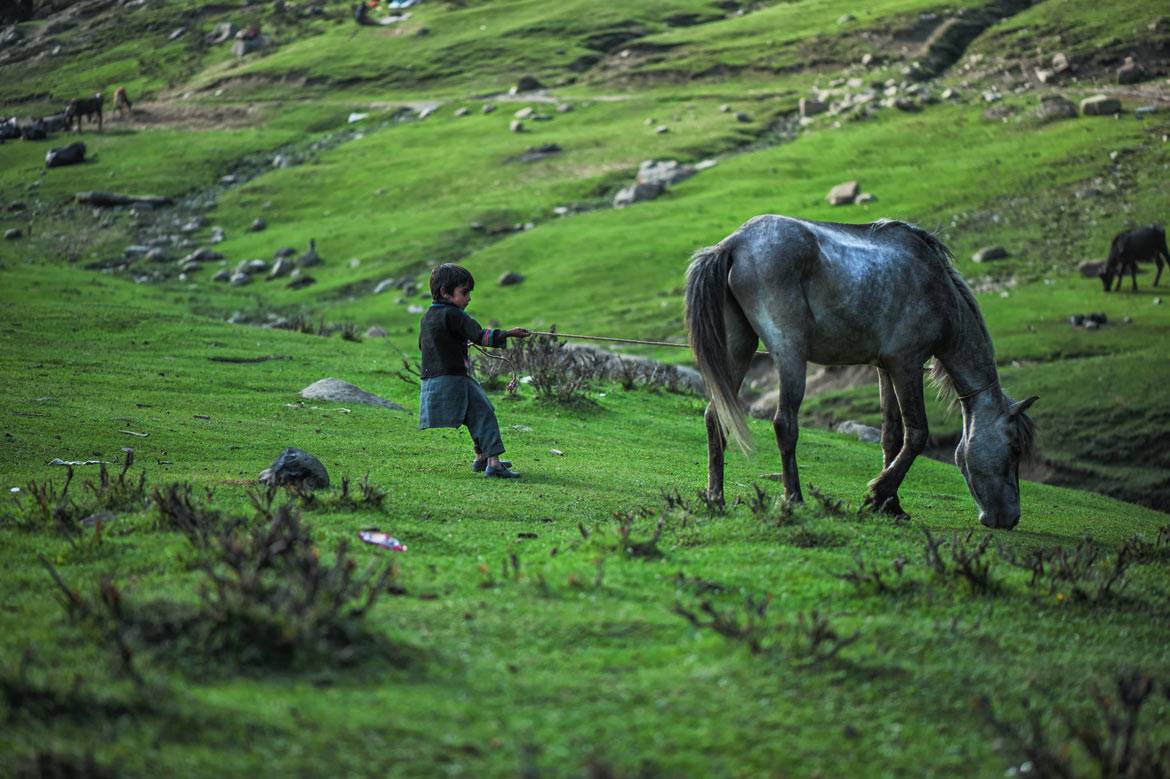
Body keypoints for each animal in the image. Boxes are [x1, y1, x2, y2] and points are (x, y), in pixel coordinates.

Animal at [687, 212, 1038, 528]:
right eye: (1015, 449)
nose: (1011, 518)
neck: (938, 291)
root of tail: (734, 243)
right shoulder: (907, 365)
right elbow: (917, 434)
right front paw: (878, 494)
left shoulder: (885, 369)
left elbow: (891, 437)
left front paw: (891, 506)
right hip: (790, 355)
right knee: (784, 423)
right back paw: (794, 499)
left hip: (738, 349)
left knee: (715, 416)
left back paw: (716, 497)